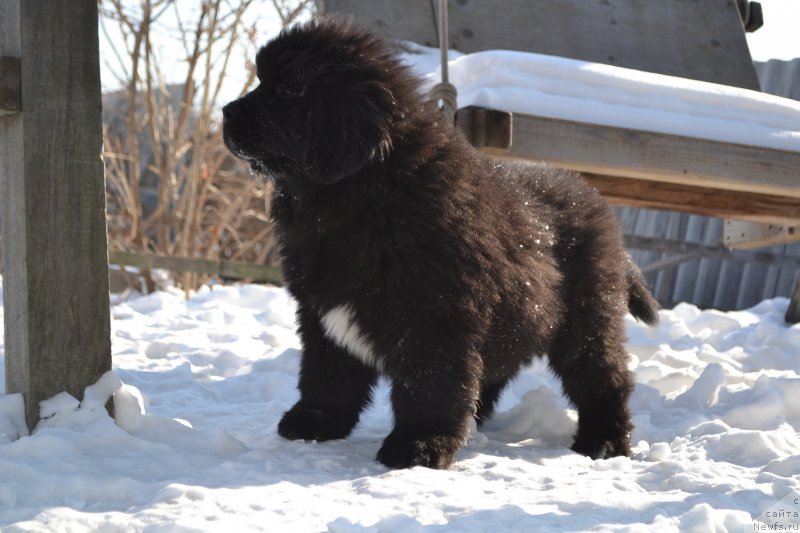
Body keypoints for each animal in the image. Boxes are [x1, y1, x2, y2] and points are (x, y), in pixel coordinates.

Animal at [222, 18, 660, 468]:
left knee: (603, 380)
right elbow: (327, 373)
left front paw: (418, 445)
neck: (368, 196)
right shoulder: (321, 313)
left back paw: (604, 442)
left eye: (287, 88)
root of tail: (595, 200)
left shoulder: (435, 315)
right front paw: (315, 421)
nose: (225, 111)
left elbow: (428, 384)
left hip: (587, 320)